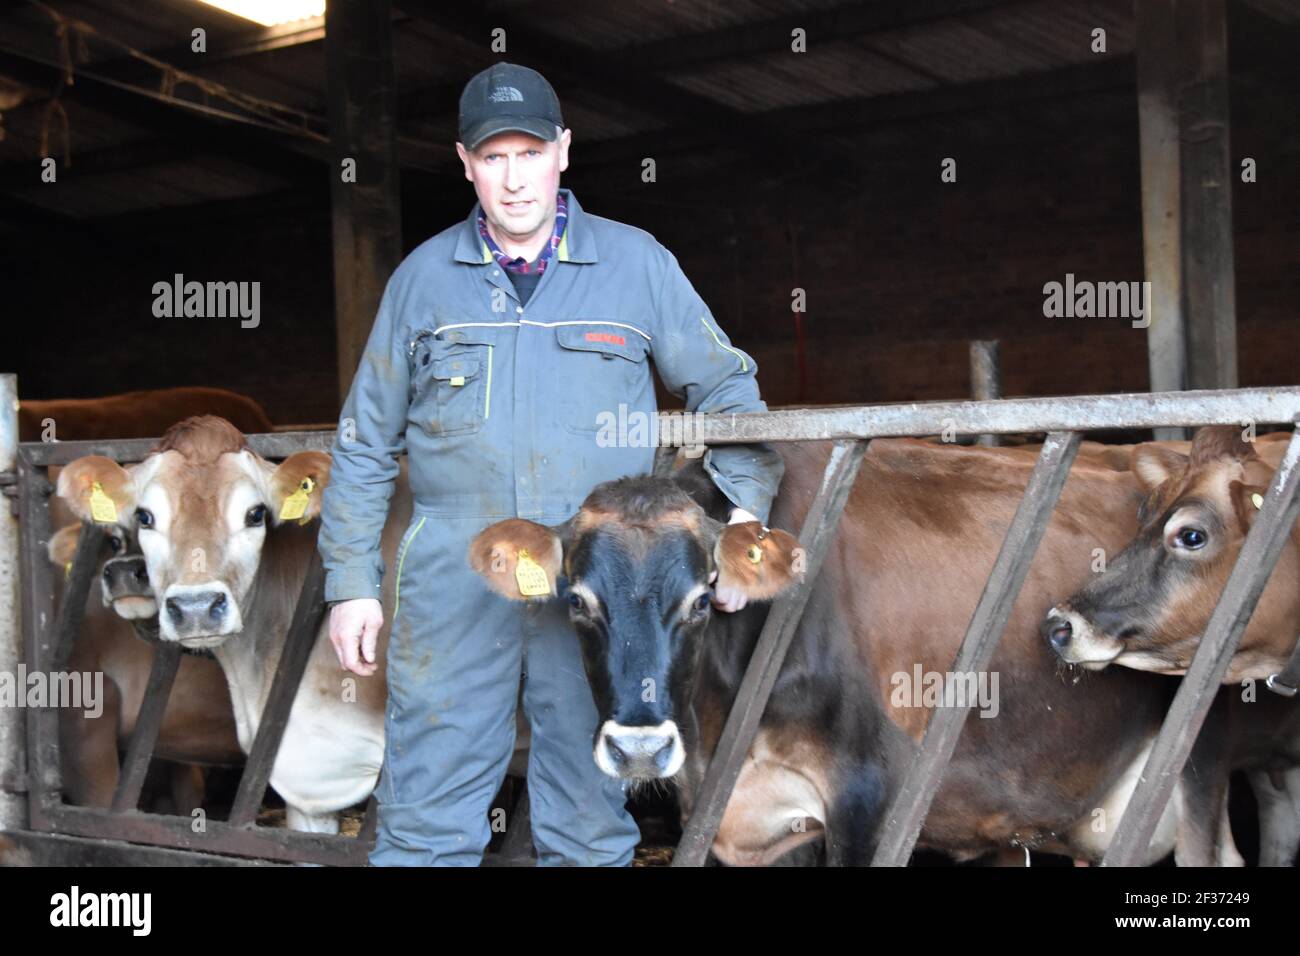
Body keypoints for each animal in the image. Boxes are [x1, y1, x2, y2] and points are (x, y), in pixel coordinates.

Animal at [470, 442, 1237, 868]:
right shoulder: (745, 816)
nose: (638, 750)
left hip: (1196, 759)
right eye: (577, 603)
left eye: (701, 600)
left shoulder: (867, 794)